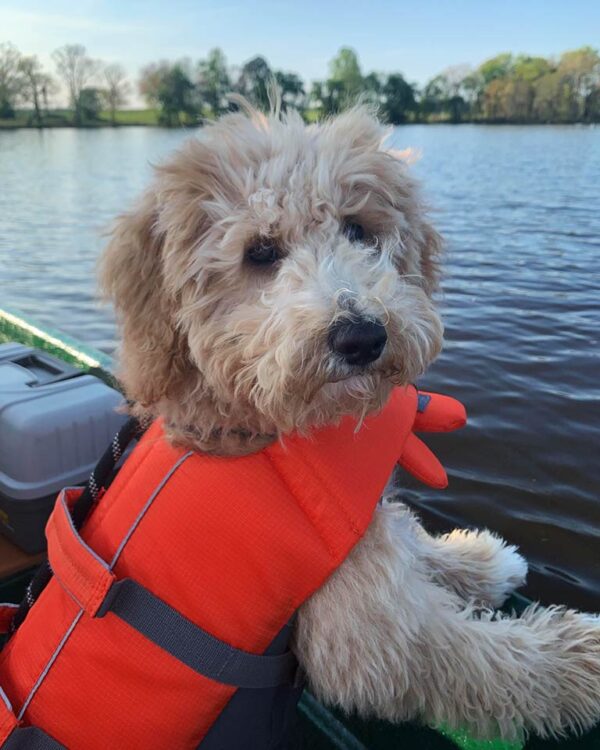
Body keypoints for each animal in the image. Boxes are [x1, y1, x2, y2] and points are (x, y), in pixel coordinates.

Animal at [101, 103, 600, 744]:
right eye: (260, 252)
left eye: (359, 229)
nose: (362, 335)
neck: (253, 427)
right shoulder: (370, 634)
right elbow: (487, 662)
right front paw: (583, 657)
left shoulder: (365, 534)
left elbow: (410, 542)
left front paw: (479, 562)